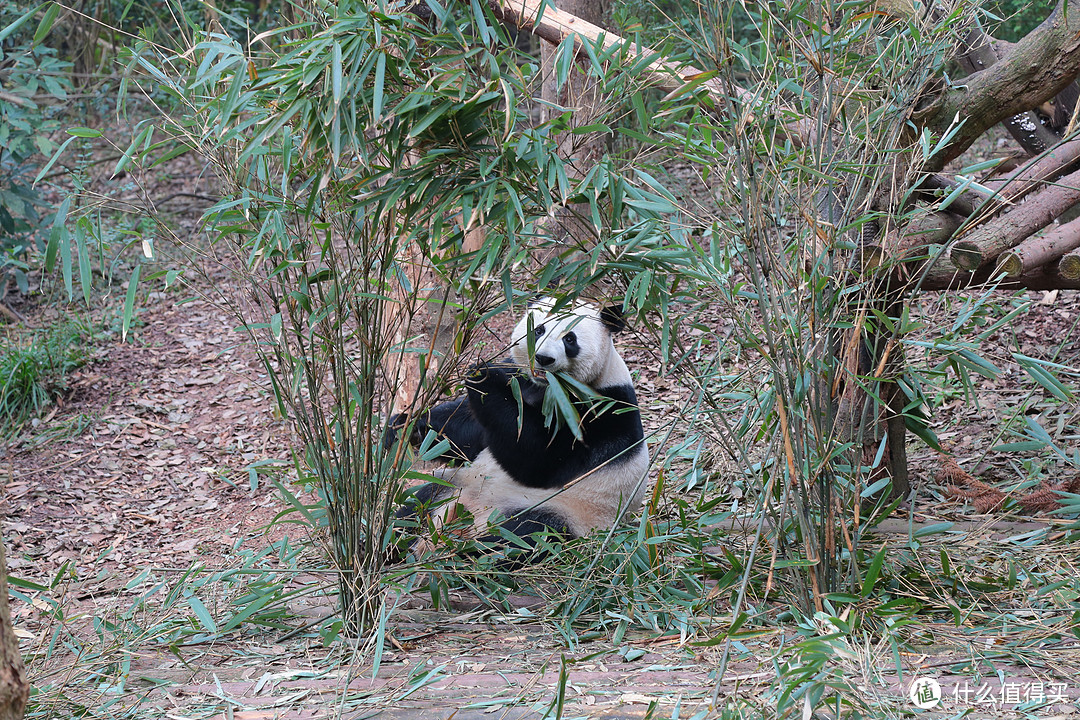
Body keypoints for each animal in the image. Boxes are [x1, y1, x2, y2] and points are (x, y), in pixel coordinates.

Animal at [393, 297, 652, 546]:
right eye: (538, 329)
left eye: (570, 339)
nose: (543, 358)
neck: (546, 387)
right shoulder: (520, 381)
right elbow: (465, 432)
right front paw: (404, 428)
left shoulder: (600, 410)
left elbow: (535, 457)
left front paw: (483, 374)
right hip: (454, 483)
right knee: (416, 504)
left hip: (562, 512)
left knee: (524, 536)